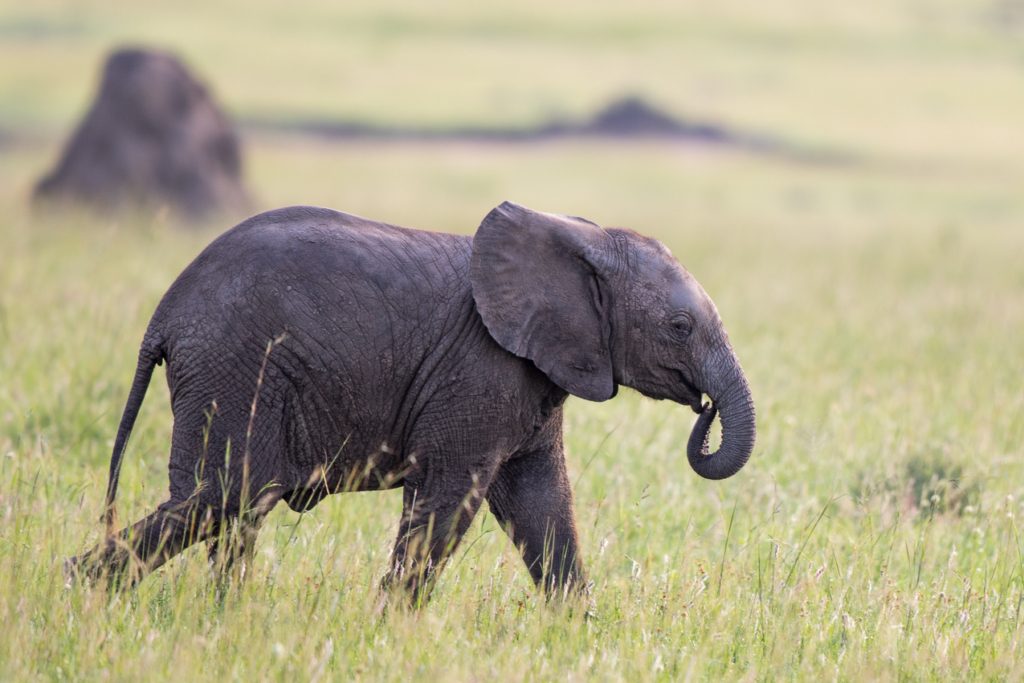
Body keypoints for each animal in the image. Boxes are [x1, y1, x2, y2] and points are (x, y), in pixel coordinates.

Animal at [66, 200, 753, 602]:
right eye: (679, 328)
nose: (704, 409)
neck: (579, 236)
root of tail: (163, 317)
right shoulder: (481, 369)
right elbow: (452, 497)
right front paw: (392, 628)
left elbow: (542, 503)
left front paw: (577, 636)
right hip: (234, 366)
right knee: (228, 495)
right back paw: (87, 597)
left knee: (228, 508)